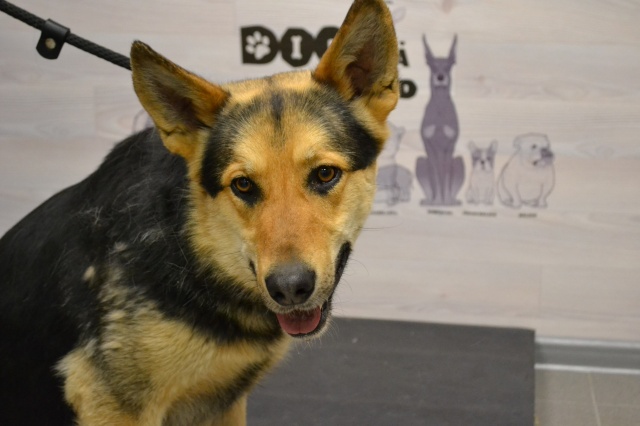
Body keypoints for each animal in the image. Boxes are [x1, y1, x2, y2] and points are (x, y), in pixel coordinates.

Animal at [0, 1, 399, 424]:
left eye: (324, 174)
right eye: (243, 186)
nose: (289, 289)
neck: (190, 247)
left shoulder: (224, 402)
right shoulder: (110, 405)